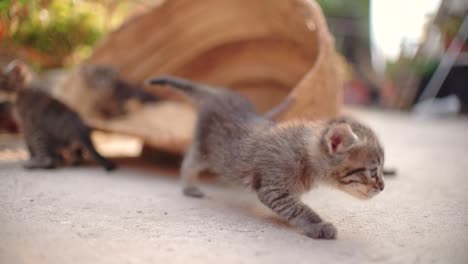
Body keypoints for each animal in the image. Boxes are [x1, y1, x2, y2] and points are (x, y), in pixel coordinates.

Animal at [146, 76, 384, 239]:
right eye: (372, 172)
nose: (382, 187)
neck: (304, 154)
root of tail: (217, 92)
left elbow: (294, 205)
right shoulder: (272, 189)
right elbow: (299, 208)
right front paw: (318, 225)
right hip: (206, 150)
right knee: (189, 162)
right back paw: (189, 186)